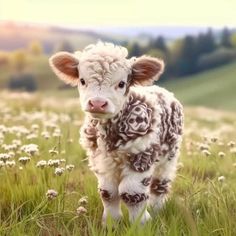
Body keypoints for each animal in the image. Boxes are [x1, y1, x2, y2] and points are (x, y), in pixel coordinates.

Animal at [49, 42, 183, 225]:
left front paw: (141, 224)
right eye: (82, 80)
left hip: (169, 157)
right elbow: (108, 192)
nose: (97, 103)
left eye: (121, 83)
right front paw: (112, 222)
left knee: (160, 185)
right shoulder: (100, 160)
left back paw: (157, 210)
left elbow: (132, 193)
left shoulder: (142, 155)